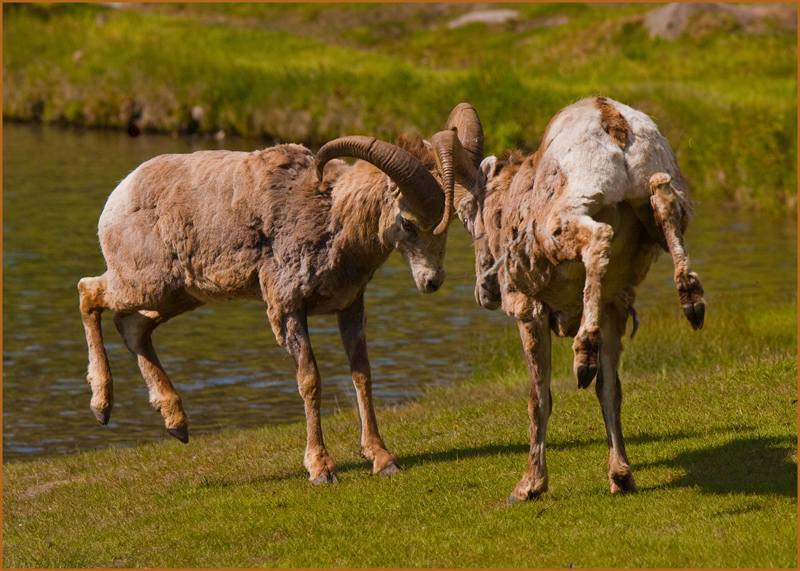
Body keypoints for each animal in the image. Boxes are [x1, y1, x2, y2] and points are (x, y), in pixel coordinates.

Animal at [81, 135, 456, 488]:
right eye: (408, 224)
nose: (433, 281)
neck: (332, 218)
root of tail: (119, 197)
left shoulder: (350, 307)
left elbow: (361, 375)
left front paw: (382, 459)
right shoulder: (288, 307)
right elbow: (310, 380)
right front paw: (321, 469)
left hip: (178, 296)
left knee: (132, 326)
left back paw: (176, 424)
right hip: (144, 285)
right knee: (88, 292)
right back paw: (101, 408)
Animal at [432, 97, 708, 500]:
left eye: (468, 215)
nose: (486, 291)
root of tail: (611, 120)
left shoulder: (530, 312)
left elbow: (539, 399)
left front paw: (528, 486)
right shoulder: (613, 308)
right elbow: (609, 392)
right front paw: (621, 477)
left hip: (563, 221)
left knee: (599, 236)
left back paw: (584, 355)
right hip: (656, 201)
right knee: (666, 205)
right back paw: (692, 301)